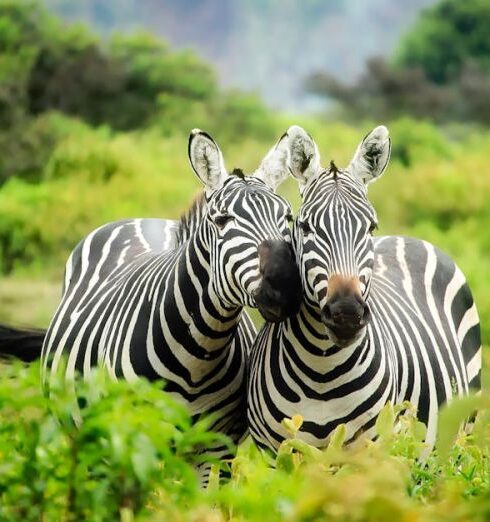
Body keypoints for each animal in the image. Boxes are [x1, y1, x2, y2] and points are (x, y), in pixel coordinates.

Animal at [247, 123, 480, 450]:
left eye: (370, 227)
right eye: (305, 227)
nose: (346, 314)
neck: (321, 372)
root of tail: (406, 238)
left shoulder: (369, 450)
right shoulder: (275, 452)